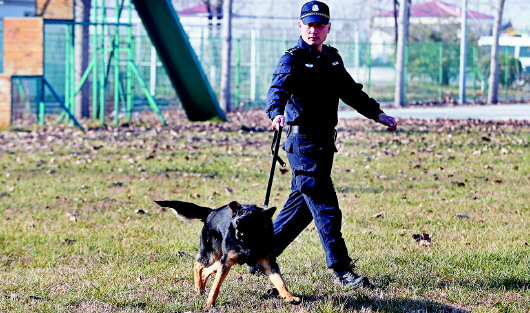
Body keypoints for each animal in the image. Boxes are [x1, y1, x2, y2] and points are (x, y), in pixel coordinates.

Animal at [155, 200, 300, 308]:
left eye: (251, 216)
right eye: (240, 213)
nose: (238, 221)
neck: (247, 241)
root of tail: (211, 212)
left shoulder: (269, 264)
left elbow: (281, 282)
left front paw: (289, 297)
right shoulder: (227, 262)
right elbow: (216, 286)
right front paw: (209, 303)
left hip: (221, 259)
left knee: (207, 269)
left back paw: (202, 284)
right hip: (212, 254)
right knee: (198, 265)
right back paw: (198, 287)